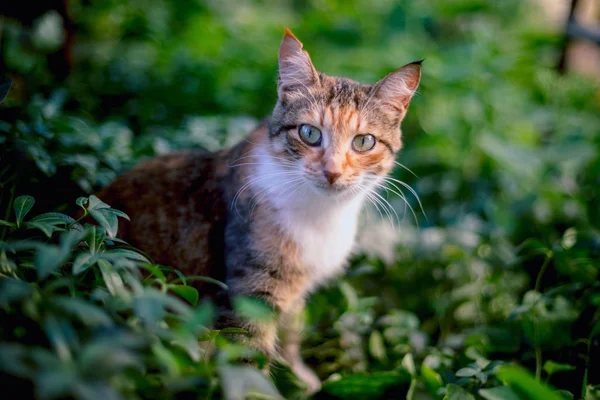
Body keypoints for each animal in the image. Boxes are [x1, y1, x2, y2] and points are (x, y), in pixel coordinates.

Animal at [96, 27, 420, 394]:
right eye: (309, 133)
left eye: (364, 141)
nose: (332, 172)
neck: (319, 213)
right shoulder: (251, 289)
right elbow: (248, 359)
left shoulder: (295, 291)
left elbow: (291, 333)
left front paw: (299, 377)